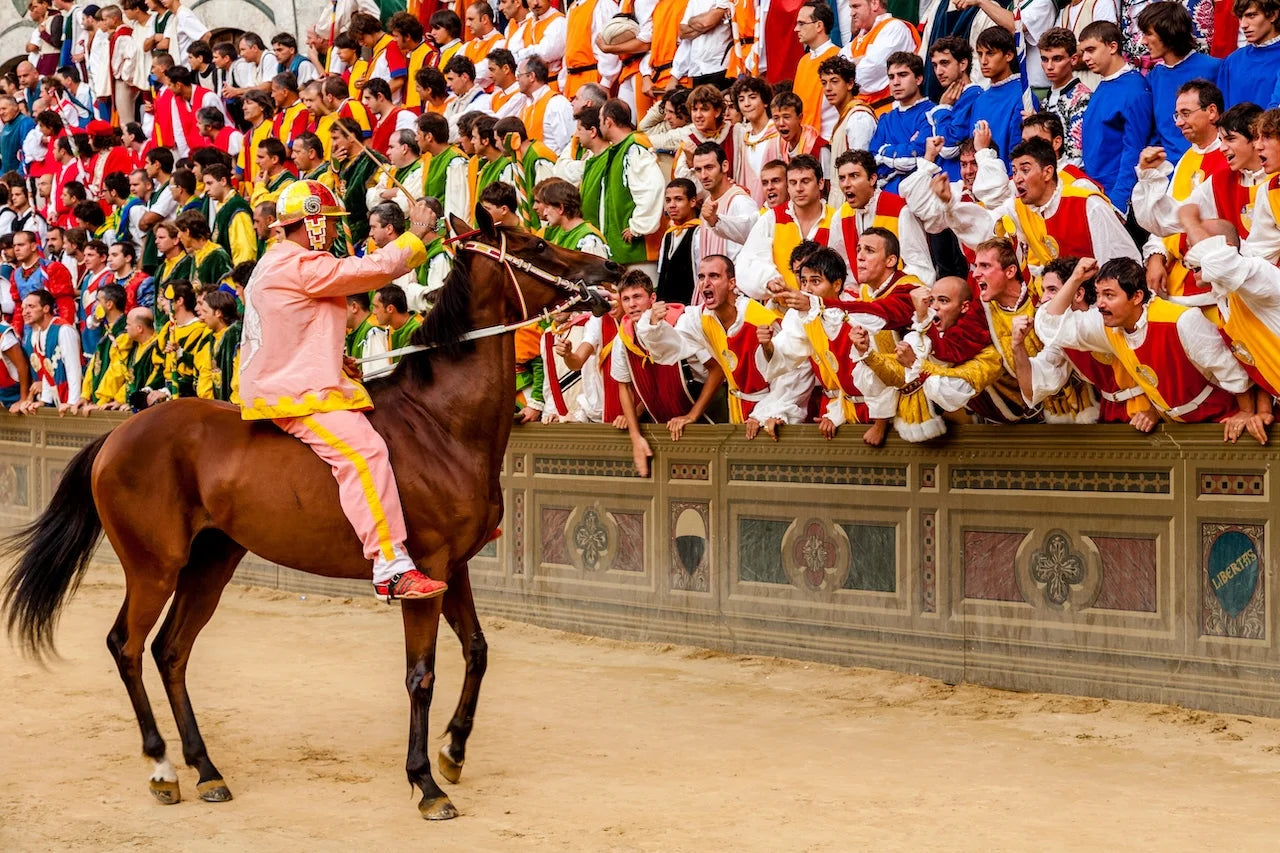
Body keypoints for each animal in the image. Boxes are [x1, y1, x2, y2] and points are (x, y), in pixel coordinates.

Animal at [2, 208, 619, 820]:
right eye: (535, 245)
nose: (610, 269)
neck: (439, 423)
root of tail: (117, 436)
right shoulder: (426, 571)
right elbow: (421, 675)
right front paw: (425, 781)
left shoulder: (456, 567)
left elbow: (477, 651)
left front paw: (453, 751)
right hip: (154, 567)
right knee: (127, 646)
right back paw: (162, 766)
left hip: (211, 562)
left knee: (170, 651)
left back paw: (206, 769)